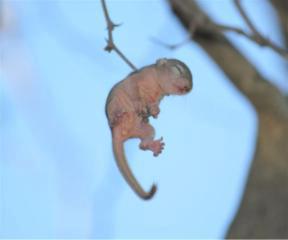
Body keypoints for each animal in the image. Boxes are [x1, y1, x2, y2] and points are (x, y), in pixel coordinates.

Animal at [104, 58, 192, 201]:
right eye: (178, 69)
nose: (189, 88)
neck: (157, 85)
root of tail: (118, 134)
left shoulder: (160, 96)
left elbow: (154, 104)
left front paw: (155, 110)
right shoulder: (139, 77)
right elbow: (133, 88)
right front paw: (140, 103)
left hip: (145, 129)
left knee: (142, 144)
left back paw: (152, 145)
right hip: (115, 103)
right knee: (116, 112)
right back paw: (117, 116)